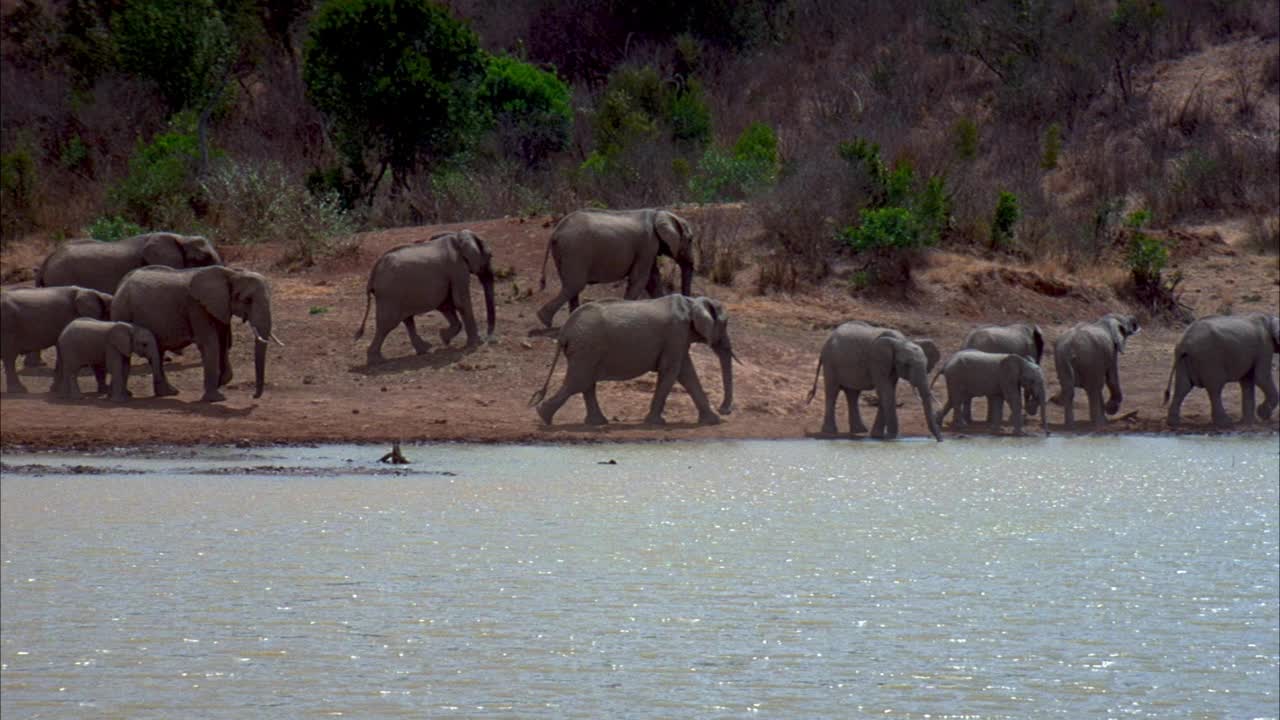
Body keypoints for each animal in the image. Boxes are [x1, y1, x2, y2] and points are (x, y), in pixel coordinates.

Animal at [111, 263, 279, 399]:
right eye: (247, 300)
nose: (253, 396)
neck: (232, 273)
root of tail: (121, 284)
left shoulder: (219, 307)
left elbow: (222, 342)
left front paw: (220, 382)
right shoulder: (196, 306)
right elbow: (210, 343)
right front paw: (216, 398)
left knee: (157, 352)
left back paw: (169, 393)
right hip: (122, 310)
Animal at [353, 229, 496, 363]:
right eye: (490, 256)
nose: (488, 339)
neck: (458, 236)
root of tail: (373, 273)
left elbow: (445, 304)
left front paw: (444, 338)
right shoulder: (457, 268)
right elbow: (460, 301)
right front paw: (476, 343)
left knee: (407, 319)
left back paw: (425, 349)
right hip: (389, 294)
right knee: (387, 325)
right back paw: (377, 361)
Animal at [527, 293, 732, 422]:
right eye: (725, 324)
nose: (725, 410)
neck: (692, 301)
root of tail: (564, 331)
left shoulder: (678, 339)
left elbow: (686, 373)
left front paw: (713, 421)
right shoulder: (676, 334)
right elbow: (672, 371)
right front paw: (655, 422)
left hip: (586, 349)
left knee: (585, 382)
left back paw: (596, 423)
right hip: (587, 347)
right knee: (579, 381)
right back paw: (543, 416)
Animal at [535, 206, 696, 326]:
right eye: (690, 239)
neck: (659, 213)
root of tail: (556, 231)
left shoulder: (649, 248)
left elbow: (652, 280)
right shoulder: (647, 245)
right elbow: (640, 279)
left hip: (564, 252)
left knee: (571, 287)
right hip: (574, 251)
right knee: (574, 285)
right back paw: (544, 320)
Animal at [803, 320, 947, 443]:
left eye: (926, 364)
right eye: (906, 365)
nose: (940, 441)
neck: (902, 341)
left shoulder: (891, 366)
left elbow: (888, 391)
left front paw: (878, 436)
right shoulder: (877, 361)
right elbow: (886, 391)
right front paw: (892, 438)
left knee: (853, 394)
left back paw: (860, 431)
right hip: (830, 362)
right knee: (833, 392)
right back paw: (830, 432)